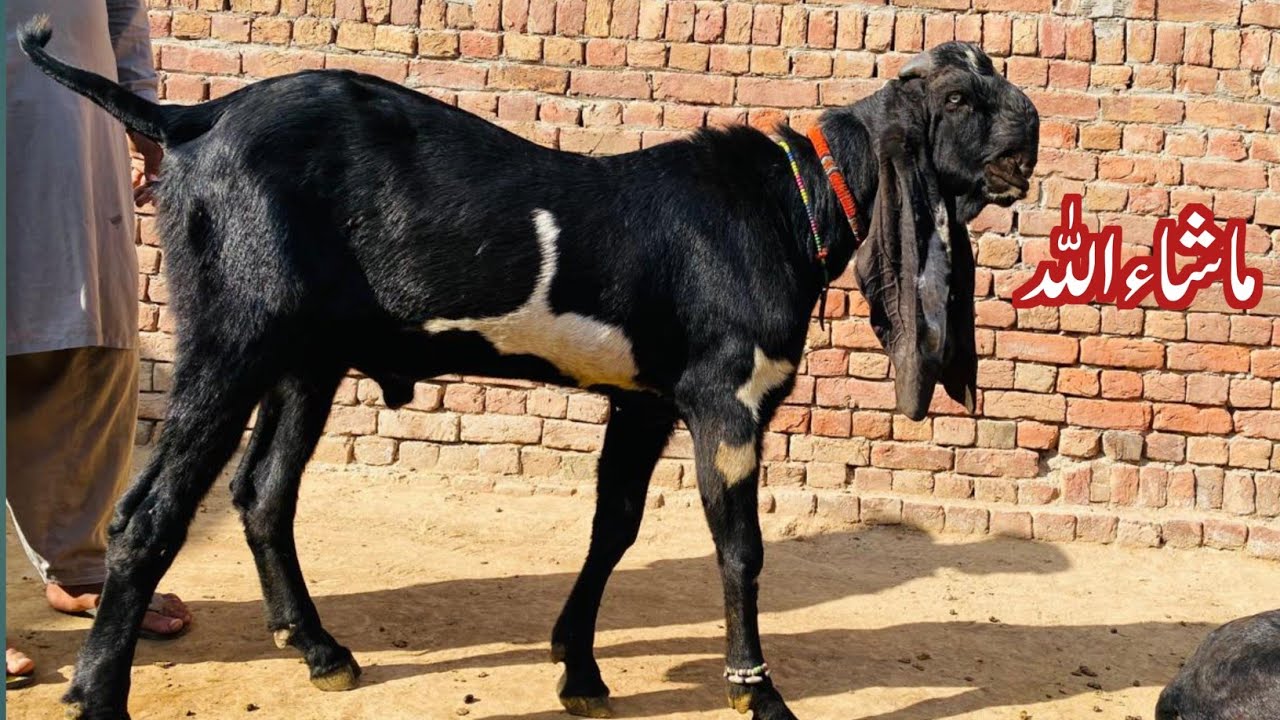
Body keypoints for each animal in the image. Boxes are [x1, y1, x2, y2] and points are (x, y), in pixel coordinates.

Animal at [20, 15, 1038, 720]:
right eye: (957, 100)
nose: (1029, 126)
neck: (792, 202)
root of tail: (190, 116)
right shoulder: (727, 401)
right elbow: (741, 551)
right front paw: (758, 691)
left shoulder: (644, 401)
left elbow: (613, 527)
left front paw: (578, 668)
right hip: (233, 335)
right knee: (148, 514)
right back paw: (100, 691)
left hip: (306, 356)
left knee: (263, 492)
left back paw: (319, 650)